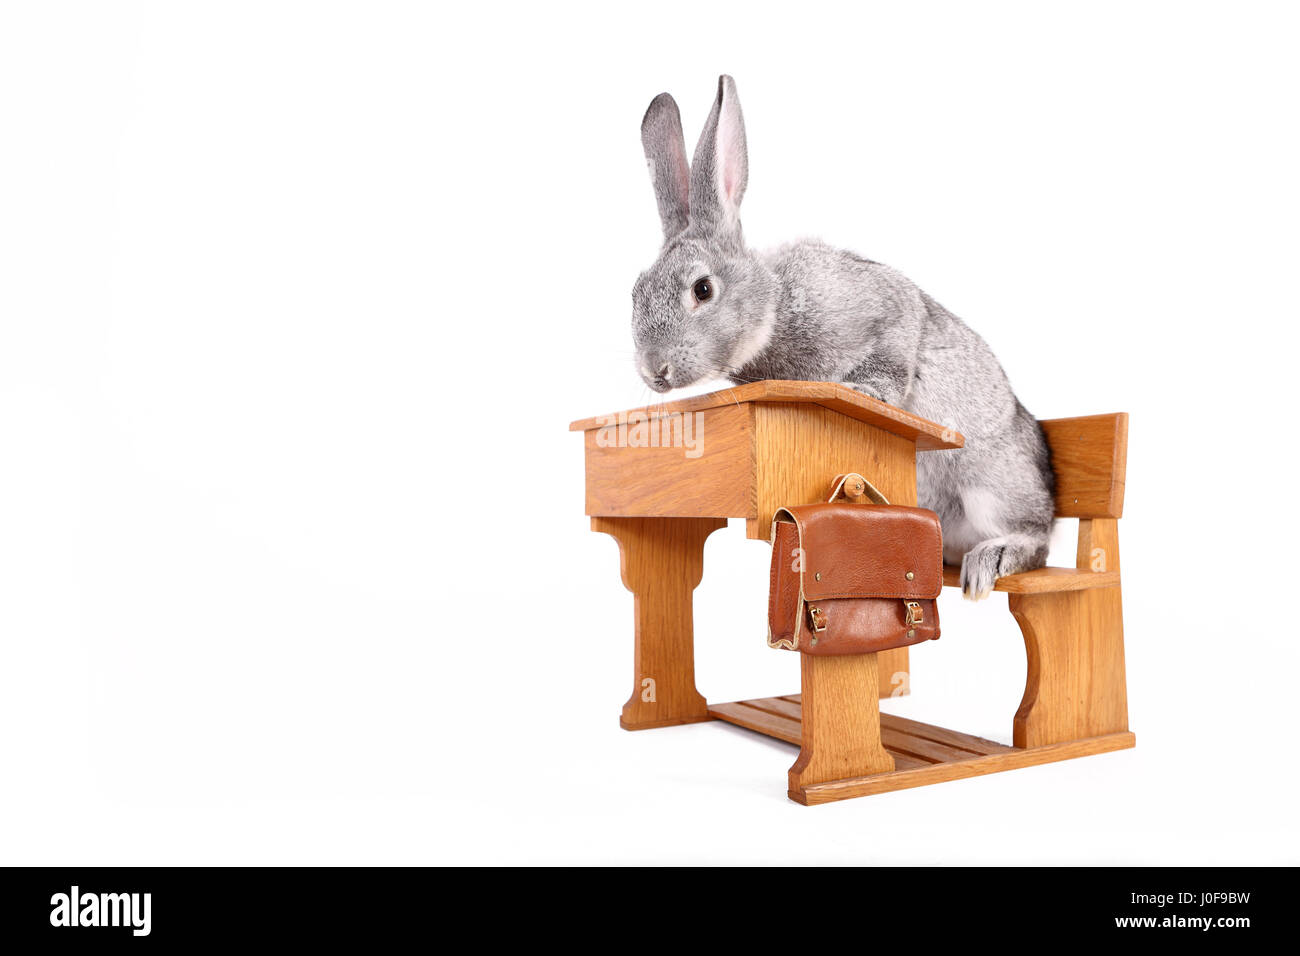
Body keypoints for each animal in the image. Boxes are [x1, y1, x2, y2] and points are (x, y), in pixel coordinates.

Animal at [629, 74, 1055, 598]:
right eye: (634, 292)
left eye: (702, 289)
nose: (655, 371)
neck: (776, 306)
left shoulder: (888, 308)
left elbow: (896, 346)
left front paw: (864, 389)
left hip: (992, 485)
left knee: (1036, 539)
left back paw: (988, 561)